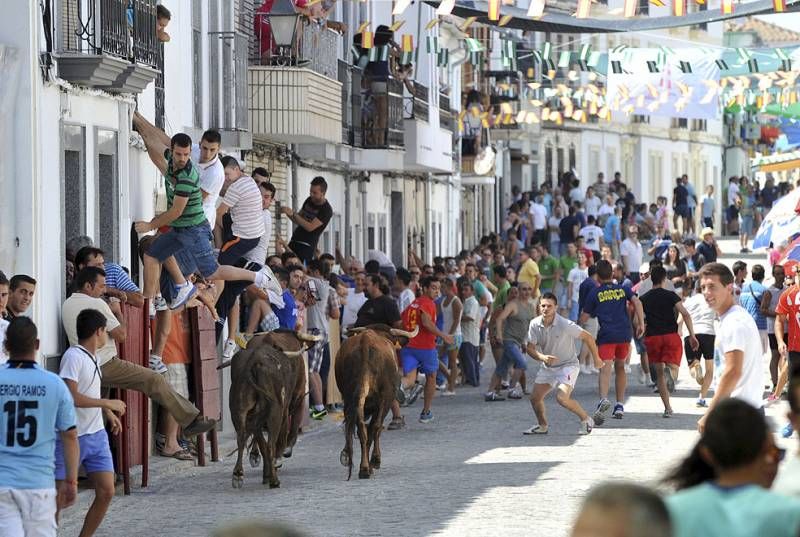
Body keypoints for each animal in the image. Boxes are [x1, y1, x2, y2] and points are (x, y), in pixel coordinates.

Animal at [223, 328, 320, 488]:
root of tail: (254, 362)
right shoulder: (296, 397)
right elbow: (290, 427)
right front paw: (281, 456)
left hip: (239, 411)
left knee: (242, 438)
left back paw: (239, 474)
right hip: (276, 411)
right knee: (270, 444)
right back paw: (274, 479)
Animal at [334, 324, 418, 480]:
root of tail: (366, 342)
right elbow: (375, 428)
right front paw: (374, 461)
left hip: (350, 397)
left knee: (359, 427)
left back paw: (361, 466)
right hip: (385, 397)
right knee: (375, 427)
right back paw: (370, 464)